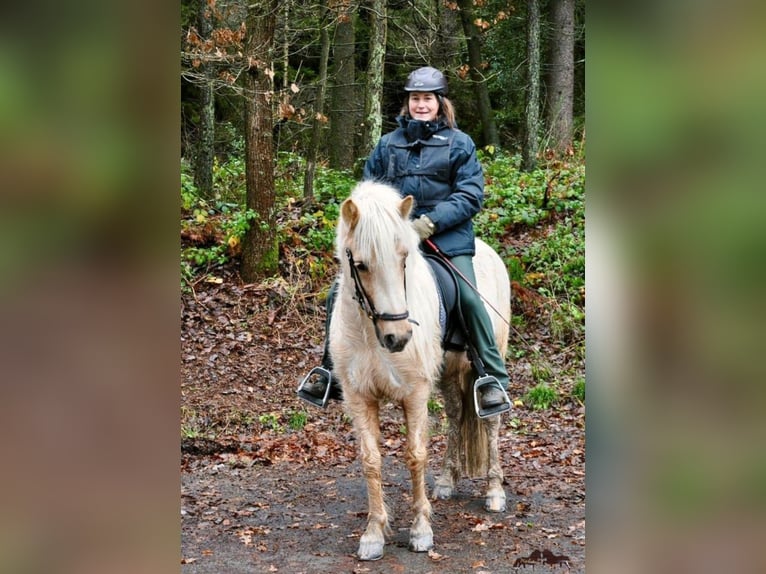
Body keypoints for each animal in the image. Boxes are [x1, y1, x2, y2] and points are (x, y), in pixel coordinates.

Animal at [330, 181, 510, 564]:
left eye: (404, 258)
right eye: (361, 265)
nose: (398, 337)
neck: (371, 335)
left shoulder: (414, 394)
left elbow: (415, 455)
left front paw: (421, 531)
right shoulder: (358, 397)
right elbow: (371, 460)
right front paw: (373, 533)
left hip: (488, 363)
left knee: (490, 422)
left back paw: (494, 492)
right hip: (448, 375)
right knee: (456, 416)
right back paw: (445, 482)